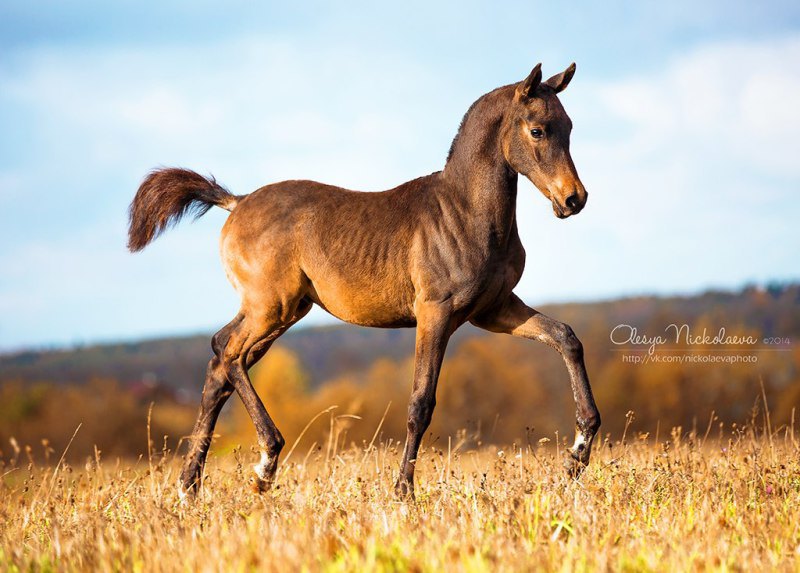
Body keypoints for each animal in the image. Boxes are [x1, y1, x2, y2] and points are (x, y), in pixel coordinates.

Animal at [126, 62, 600, 498]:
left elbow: (565, 336)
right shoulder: (436, 313)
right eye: (537, 130)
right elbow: (421, 402)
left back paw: (192, 486)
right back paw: (264, 463)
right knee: (227, 354)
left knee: (219, 364)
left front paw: (578, 453)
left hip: (283, 312)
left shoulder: (494, 309)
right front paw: (403, 491)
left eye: (570, 127)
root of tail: (236, 202)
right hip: (271, 307)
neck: (466, 212)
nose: (574, 199)